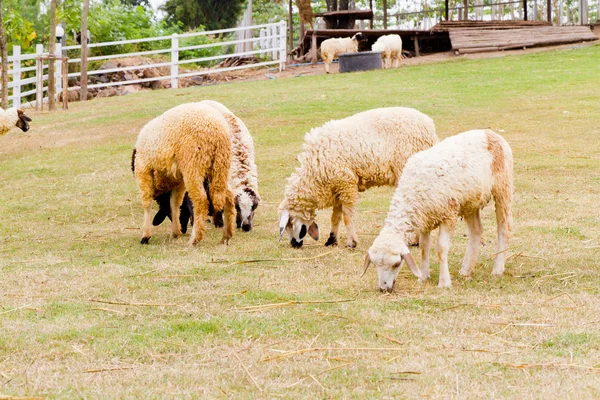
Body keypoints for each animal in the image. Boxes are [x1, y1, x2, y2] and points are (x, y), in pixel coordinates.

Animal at [132, 102, 236, 247]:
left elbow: (147, 203)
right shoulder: (178, 180)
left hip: (193, 165)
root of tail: (217, 131)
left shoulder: (143, 168)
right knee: (228, 196)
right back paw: (226, 236)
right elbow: (175, 203)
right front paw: (176, 232)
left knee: (200, 200)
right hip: (221, 167)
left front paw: (145, 236)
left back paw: (195, 239)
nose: (184, 228)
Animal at [278, 107, 438, 250]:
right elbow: (335, 217)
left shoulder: (346, 184)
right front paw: (332, 240)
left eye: (289, 223)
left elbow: (347, 217)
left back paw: (415, 240)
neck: (314, 174)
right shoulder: (337, 187)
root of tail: (429, 125)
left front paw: (351, 243)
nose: (294, 245)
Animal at [364, 130, 512, 292]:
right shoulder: (423, 219)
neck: (411, 191)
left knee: (504, 228)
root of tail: (490, 133)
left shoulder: (448, 214)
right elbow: (424, 247)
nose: (384, 288)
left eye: (396, 264)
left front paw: (444, 282)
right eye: (375, 264)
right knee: (476, 231)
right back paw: (466, 269)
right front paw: (423, 276)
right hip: (470, 200)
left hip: (503, 187)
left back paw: (497, 268)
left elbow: (441, 247)